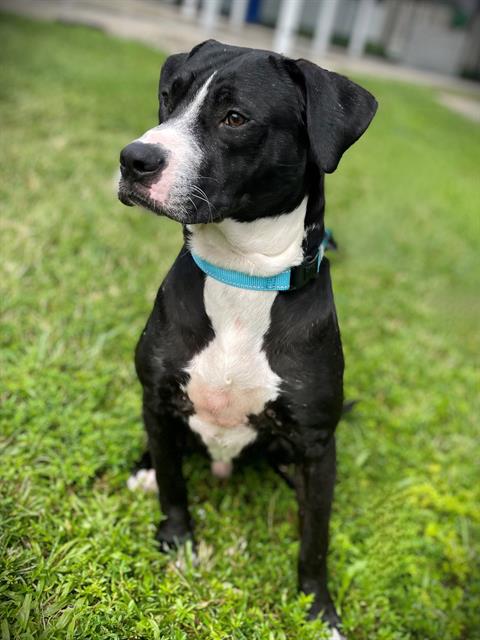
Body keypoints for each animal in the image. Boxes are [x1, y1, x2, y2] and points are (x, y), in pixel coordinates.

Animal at [118, 41, 376, 640]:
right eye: (170, 96)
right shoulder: (159, 396)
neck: (242, 276)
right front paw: (178, 543)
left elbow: (315, 541)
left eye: (235, 118)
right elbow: (173, 486)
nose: (133, 159)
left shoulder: (316, 446)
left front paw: (319, 612)